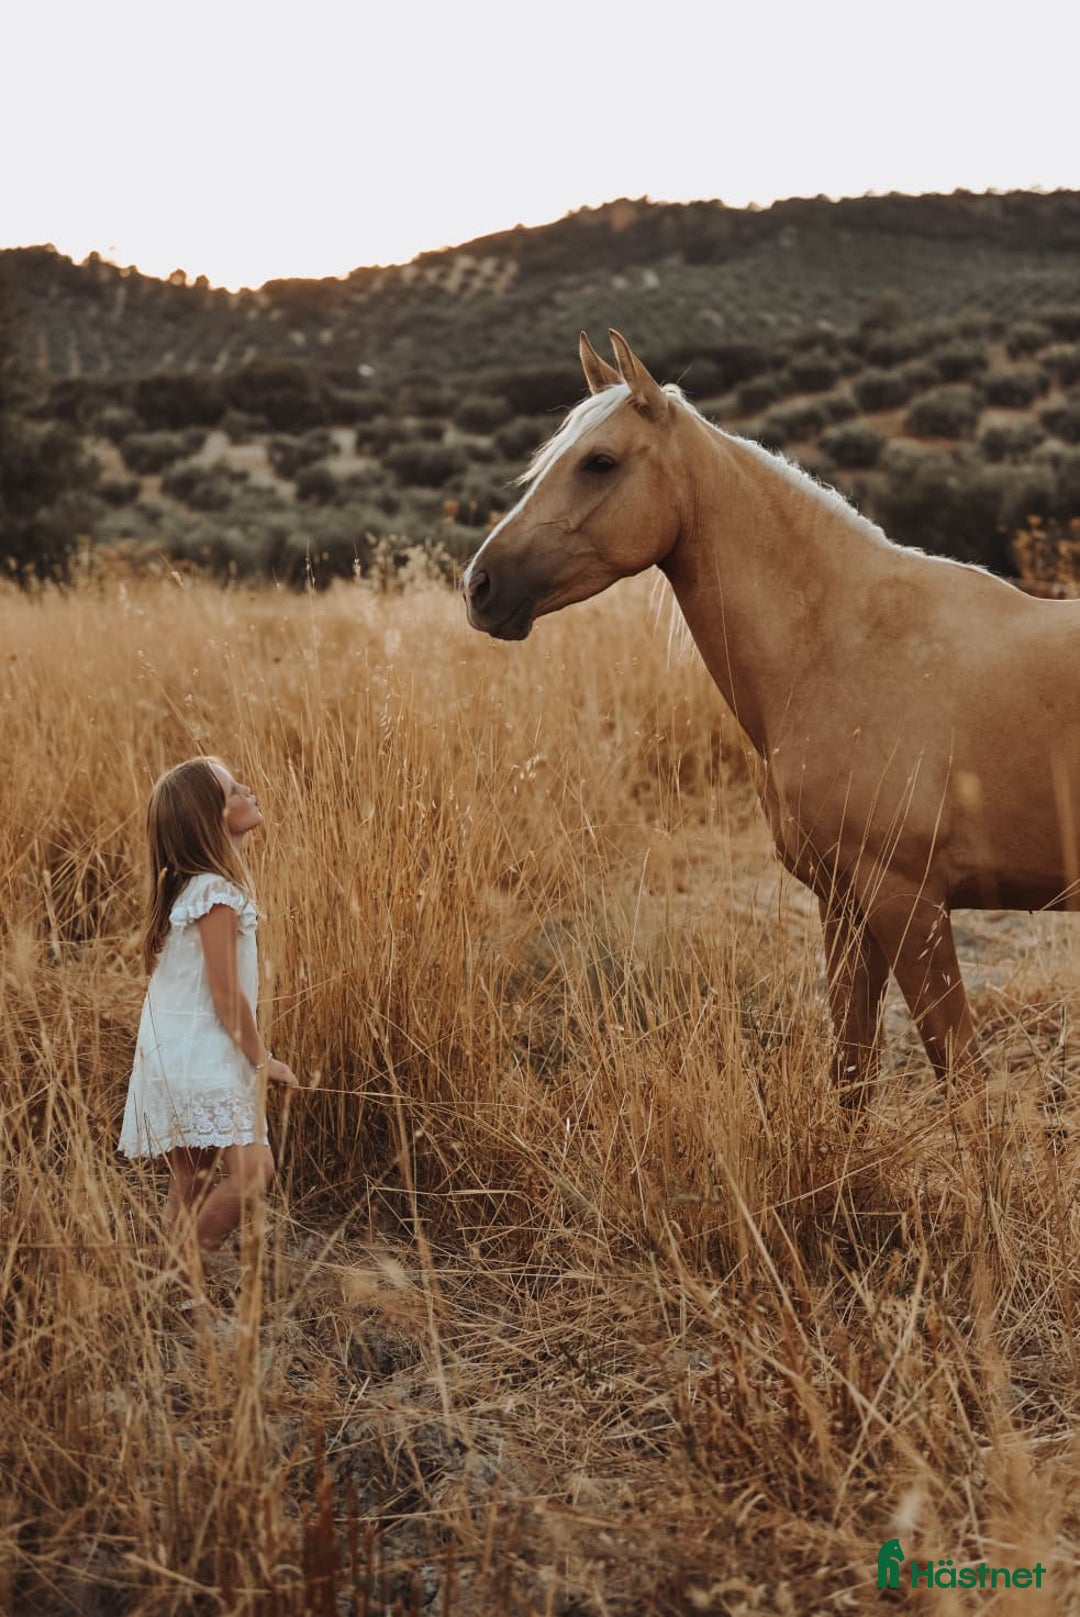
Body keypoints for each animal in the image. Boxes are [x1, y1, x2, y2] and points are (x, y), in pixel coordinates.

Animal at [462, 330, 1080, 1105]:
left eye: (599, 462)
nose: (479, 587)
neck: (846, 644)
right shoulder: (844, 904)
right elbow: (850, 1077)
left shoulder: (908, 901)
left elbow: (961, 1079)